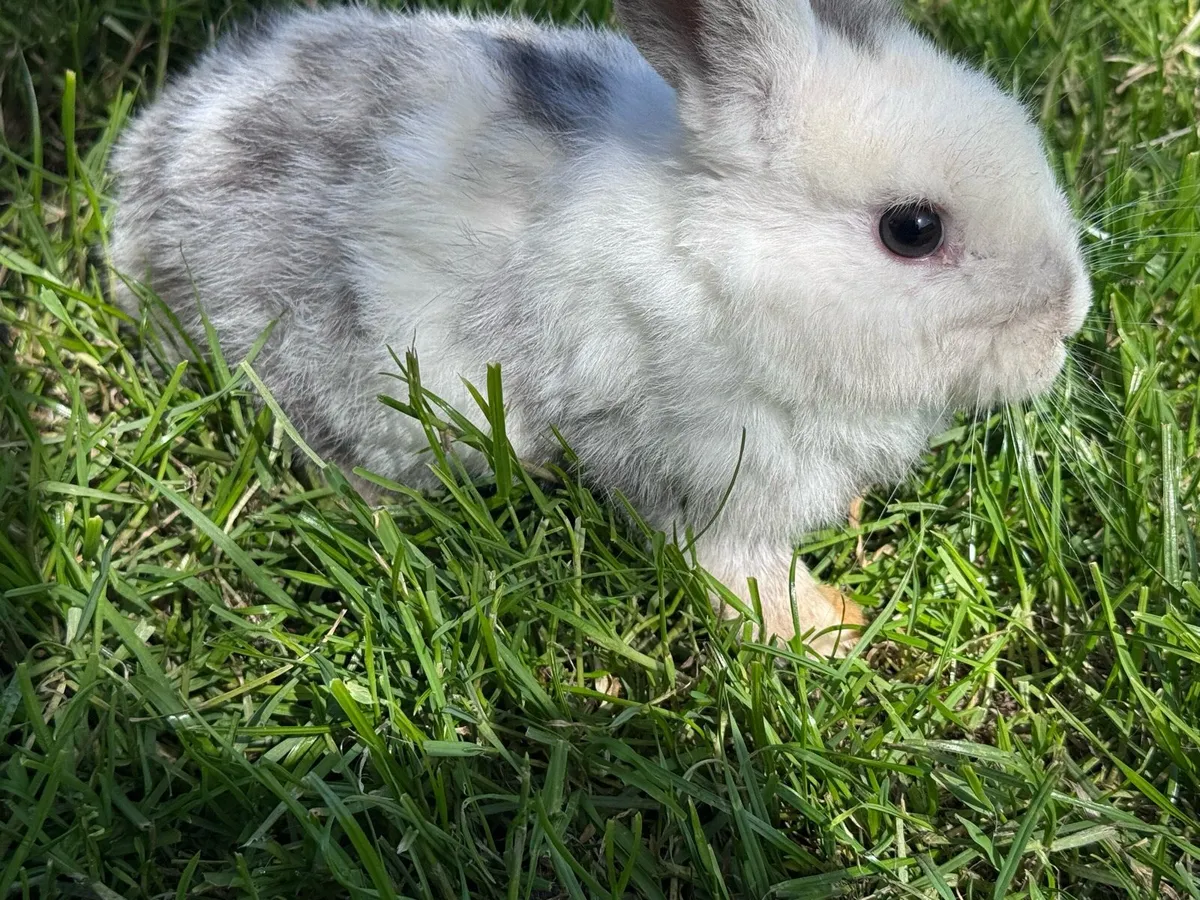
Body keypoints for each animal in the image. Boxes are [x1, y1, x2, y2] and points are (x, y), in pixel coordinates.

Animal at [109, 0, 1092, 656]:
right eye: (911, 229)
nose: (1068, 319)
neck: (714, 259)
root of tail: (147, 172)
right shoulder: (703, 475)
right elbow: (734, 565)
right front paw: (824, 632)